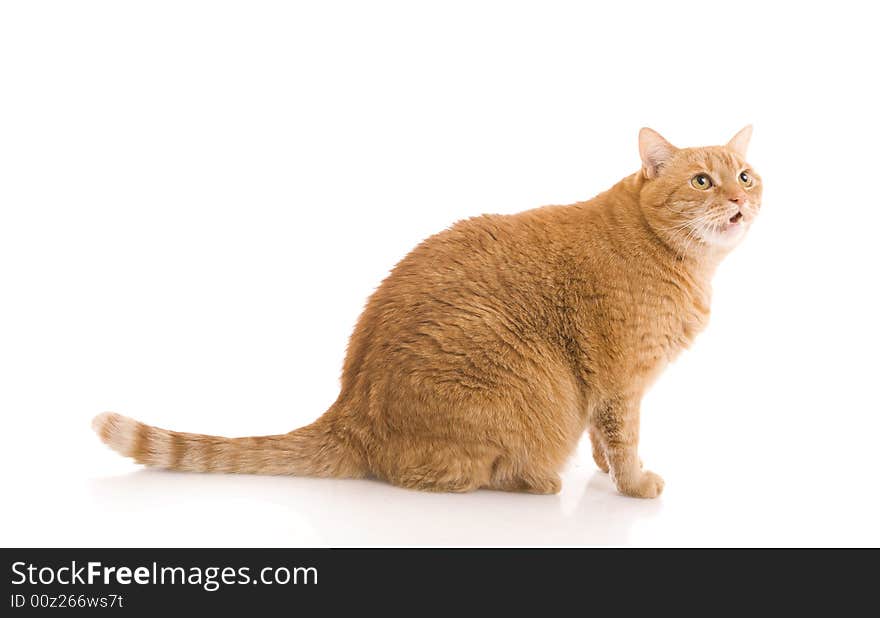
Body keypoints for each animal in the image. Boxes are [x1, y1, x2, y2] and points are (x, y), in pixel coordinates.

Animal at [93, 126, 760, 496]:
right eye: (702, 181)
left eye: (747, 176)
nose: (738, 200)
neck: (673, 255)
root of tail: (347, 410)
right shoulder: (621, 381)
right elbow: (624, 439)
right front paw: (634, 484)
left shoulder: (610, 391)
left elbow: (604, 437)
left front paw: (603, 470)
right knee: (478, 473)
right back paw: (538, 479)